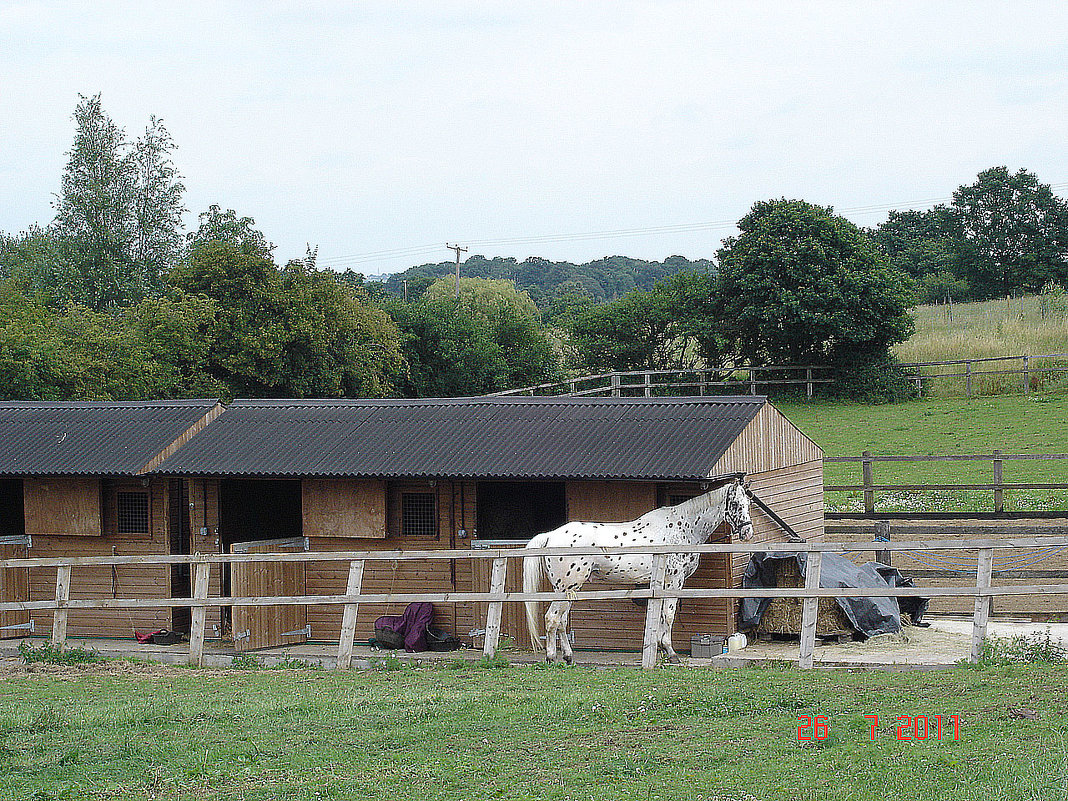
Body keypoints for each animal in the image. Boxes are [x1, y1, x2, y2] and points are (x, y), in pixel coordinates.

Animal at [523, 480, 756, 666]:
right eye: (735, 504)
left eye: (748, 504)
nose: (747, 532)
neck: (682, 528)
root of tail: (551, 535)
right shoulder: (674, 581)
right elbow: (668, 615)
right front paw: (671, 653)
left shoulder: (661, 585)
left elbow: (661, 615)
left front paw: (661, 649)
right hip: (567, 587)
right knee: (552, 619)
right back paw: (551, 657)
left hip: (567, 590)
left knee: (561, 621)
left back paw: (569, 657)